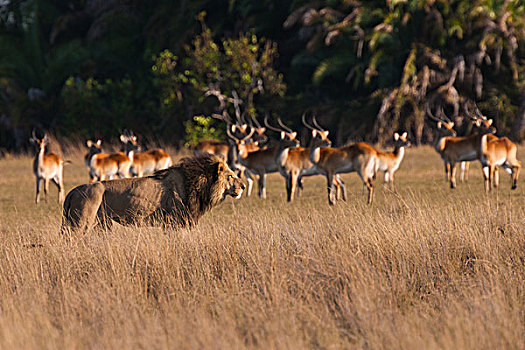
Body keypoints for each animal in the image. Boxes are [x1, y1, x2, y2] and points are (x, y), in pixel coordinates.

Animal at [60, 154, 245, 234]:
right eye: (230, 176)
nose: (243, 186)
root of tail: (72, 191)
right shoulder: (174, 222)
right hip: (81, 221)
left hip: (102, 223)